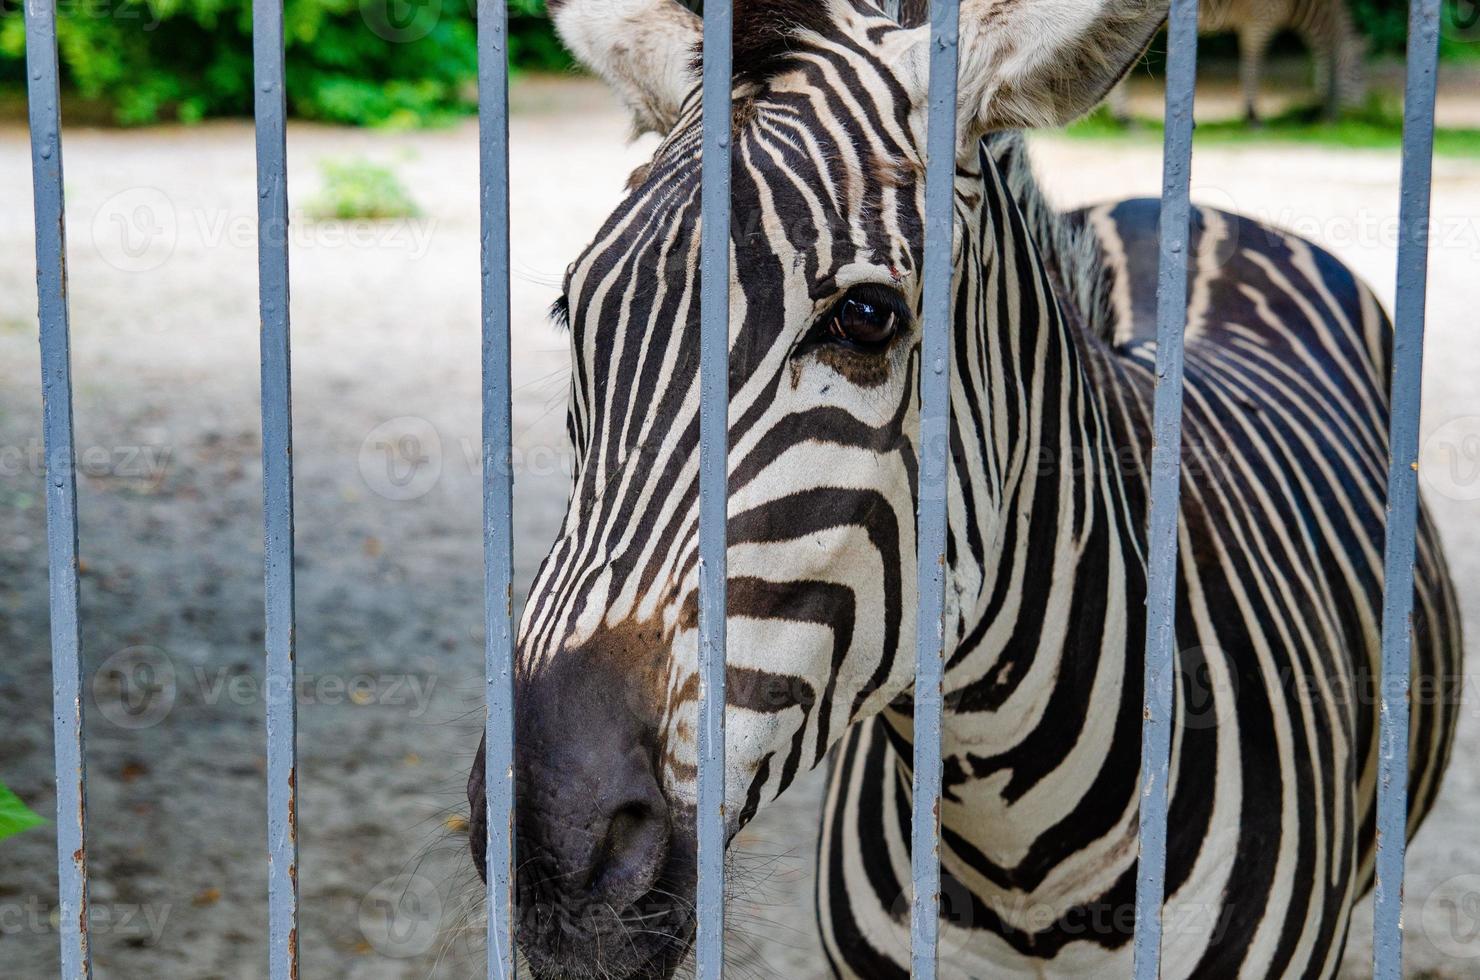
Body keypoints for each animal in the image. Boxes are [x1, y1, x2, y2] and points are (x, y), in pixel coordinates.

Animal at [1107, 0, 1367, 123]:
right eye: (1357, 73)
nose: (1357, 112)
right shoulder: (1260, 22)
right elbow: (1252, 67)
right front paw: (1253, 117)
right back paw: (1126, 121)